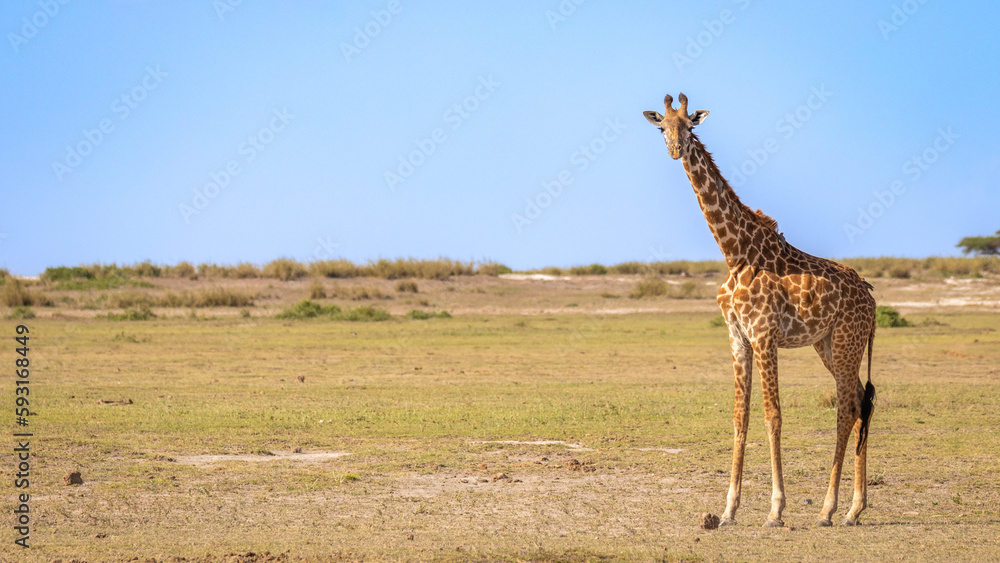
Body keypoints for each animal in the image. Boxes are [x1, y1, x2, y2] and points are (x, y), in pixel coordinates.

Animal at [643, 93, 877, 527]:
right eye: (662, 127)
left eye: (691, 125)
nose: (675, 149)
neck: (735, 254)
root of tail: (872, 299)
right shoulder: (738, 338)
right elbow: (741, 416)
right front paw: (728, 509)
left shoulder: (765, 335)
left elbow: (773, 415)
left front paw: (775, 509)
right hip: (827, 345)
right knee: (861, 401)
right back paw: (855, 509)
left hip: (846, 341)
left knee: (848, 406)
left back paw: (829, 509)